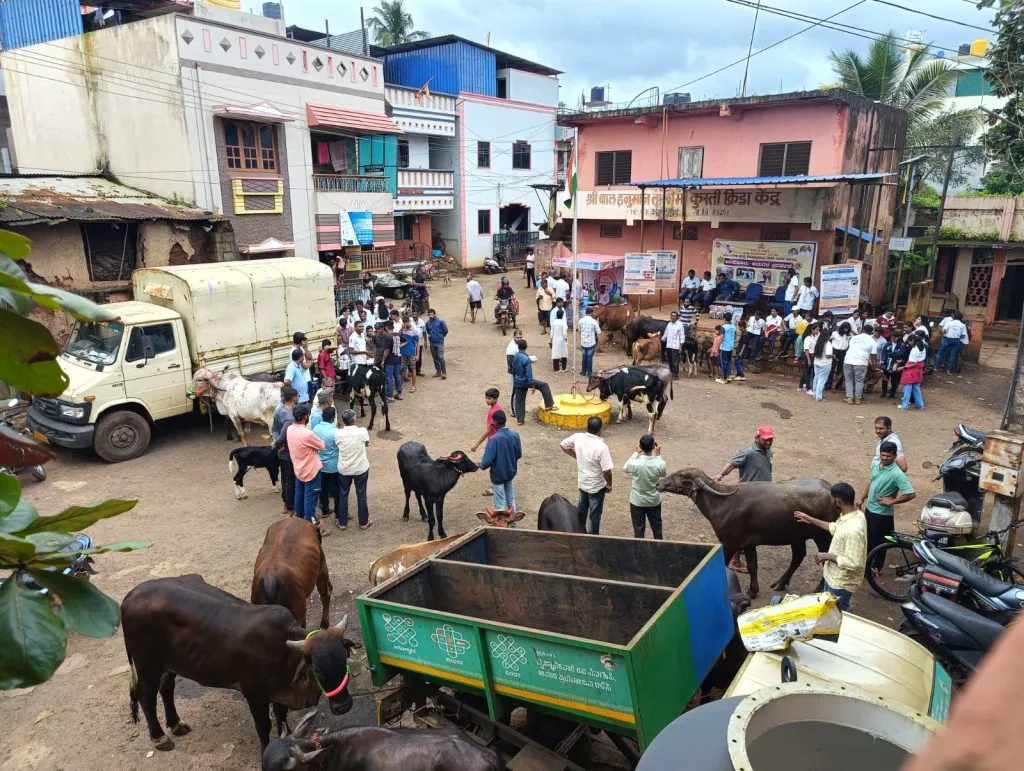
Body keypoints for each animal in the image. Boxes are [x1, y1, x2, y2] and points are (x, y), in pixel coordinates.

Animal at [121, 577, 356, 753]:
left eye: (344, 658)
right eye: (316, 668)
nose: (343, 706)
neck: (286, 650)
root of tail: (130, 595)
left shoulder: (279, 691)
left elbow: (281, 715)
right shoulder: (254, 695)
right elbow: (264, 726)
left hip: (170, 664)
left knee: (166, 688)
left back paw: (176, 724)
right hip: (146, 665)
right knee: (146, 696)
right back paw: (159, 737)